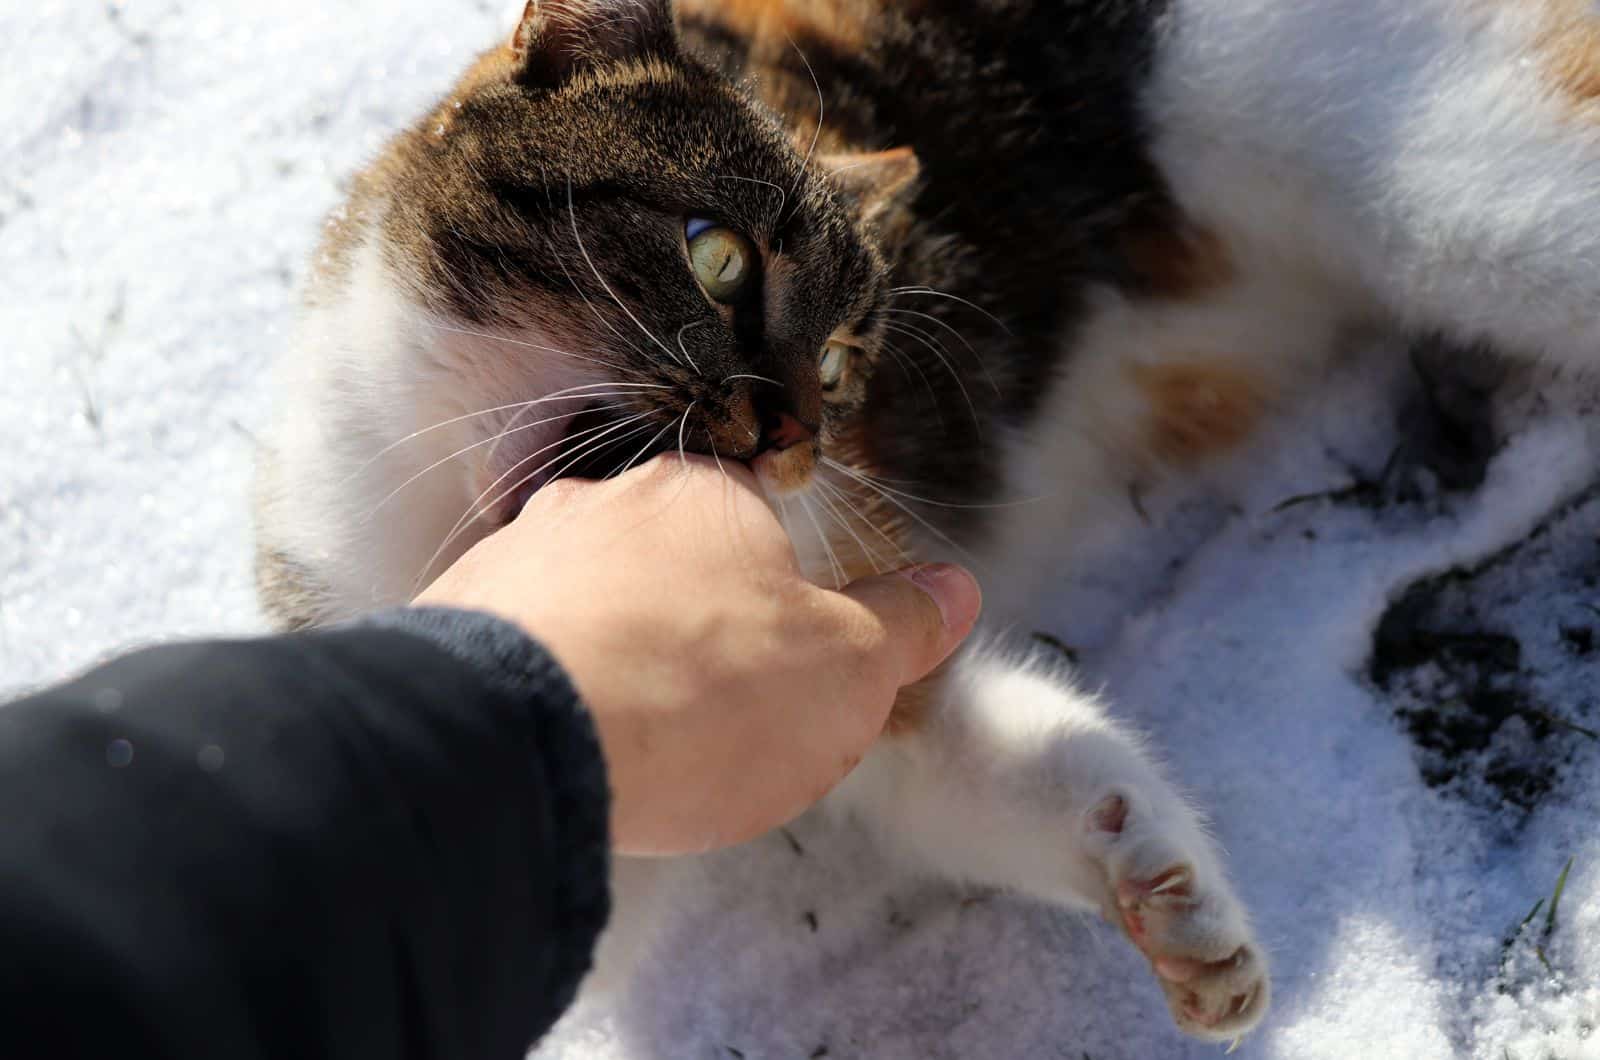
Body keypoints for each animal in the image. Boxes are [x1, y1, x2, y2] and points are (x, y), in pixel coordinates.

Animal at [249, 0, 1600, 1043]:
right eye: (715, 255)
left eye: (841, 360)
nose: (793, 433)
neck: (433, 526)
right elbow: (975, 765)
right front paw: (1155, 889)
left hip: (1464, 196)